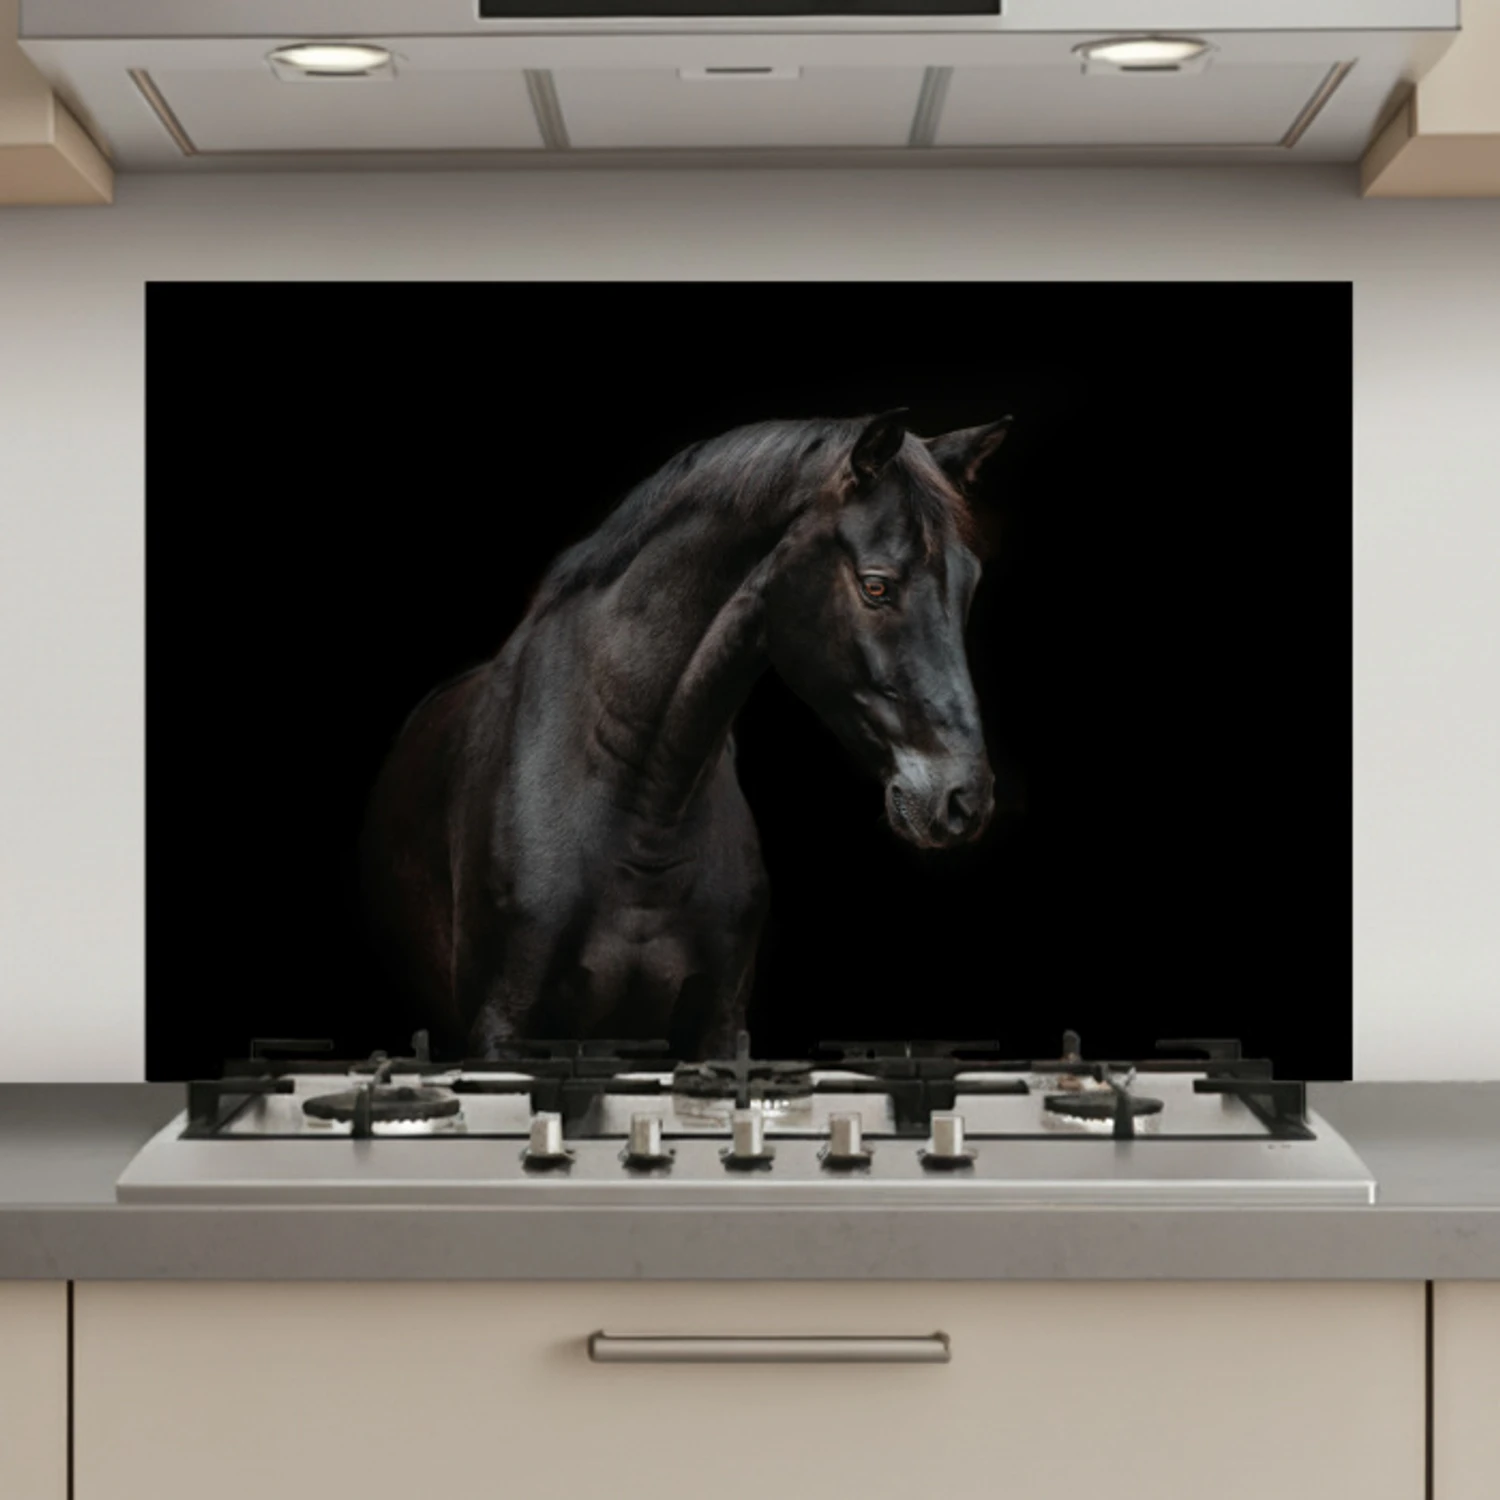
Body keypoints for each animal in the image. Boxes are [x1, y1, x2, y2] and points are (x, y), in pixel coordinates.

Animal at [358, 409, 1012, 1061]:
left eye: (970, 583)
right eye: (877, 586)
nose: (963, 799)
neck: (642, 806)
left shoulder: (718, 1026)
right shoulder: (503, 1028)